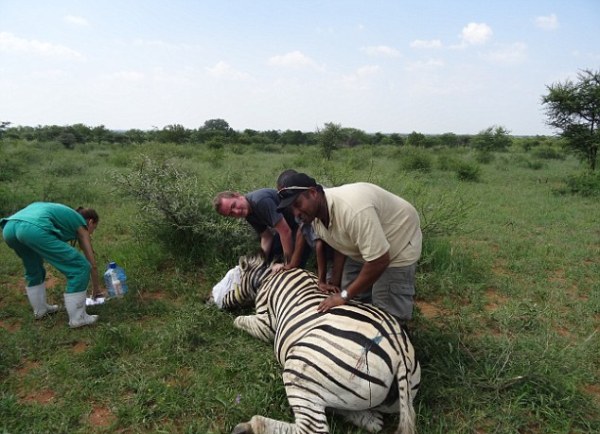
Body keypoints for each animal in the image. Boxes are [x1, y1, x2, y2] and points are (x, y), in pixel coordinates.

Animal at [230, 254, 422, 434]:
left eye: (231, 279)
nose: (220, 304)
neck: (267, 277)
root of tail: (400, 354)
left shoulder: (266, 322)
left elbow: (239, 320)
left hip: (302, 368)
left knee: (313, 427)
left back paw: (250, 425)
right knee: (357, 415)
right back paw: (368, 418)